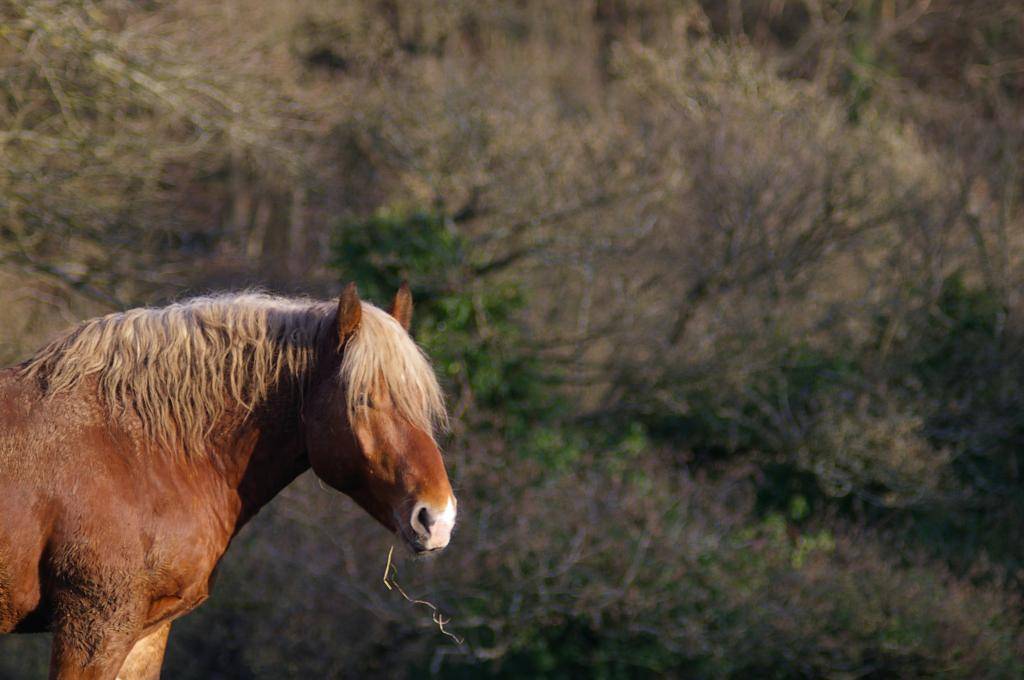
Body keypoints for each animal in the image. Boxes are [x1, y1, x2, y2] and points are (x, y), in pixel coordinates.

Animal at [0, 284, 456, 680]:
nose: (439, 519)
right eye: (363, 400)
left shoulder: (146, 633)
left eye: (422, 402)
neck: (136, 448)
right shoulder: (92, 629)